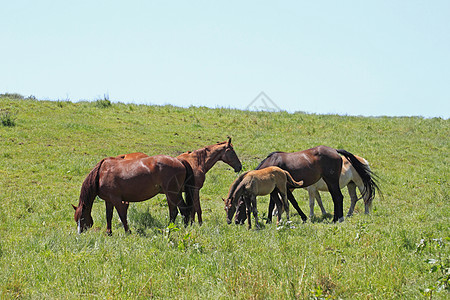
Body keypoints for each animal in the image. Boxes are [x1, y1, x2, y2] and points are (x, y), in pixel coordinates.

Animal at [234, 145, 378, 223]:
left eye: (240, 206)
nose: (236, 221)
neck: (272, 165)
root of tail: (335, 151)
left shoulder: (288, 188)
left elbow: (294, 203)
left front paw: (304, 217)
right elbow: (272, 204)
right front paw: (270, 220)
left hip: (340, 182)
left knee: (343, 197)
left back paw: (339, 218)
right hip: (347, 184)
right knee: (343, 198)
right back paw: (339, 217)